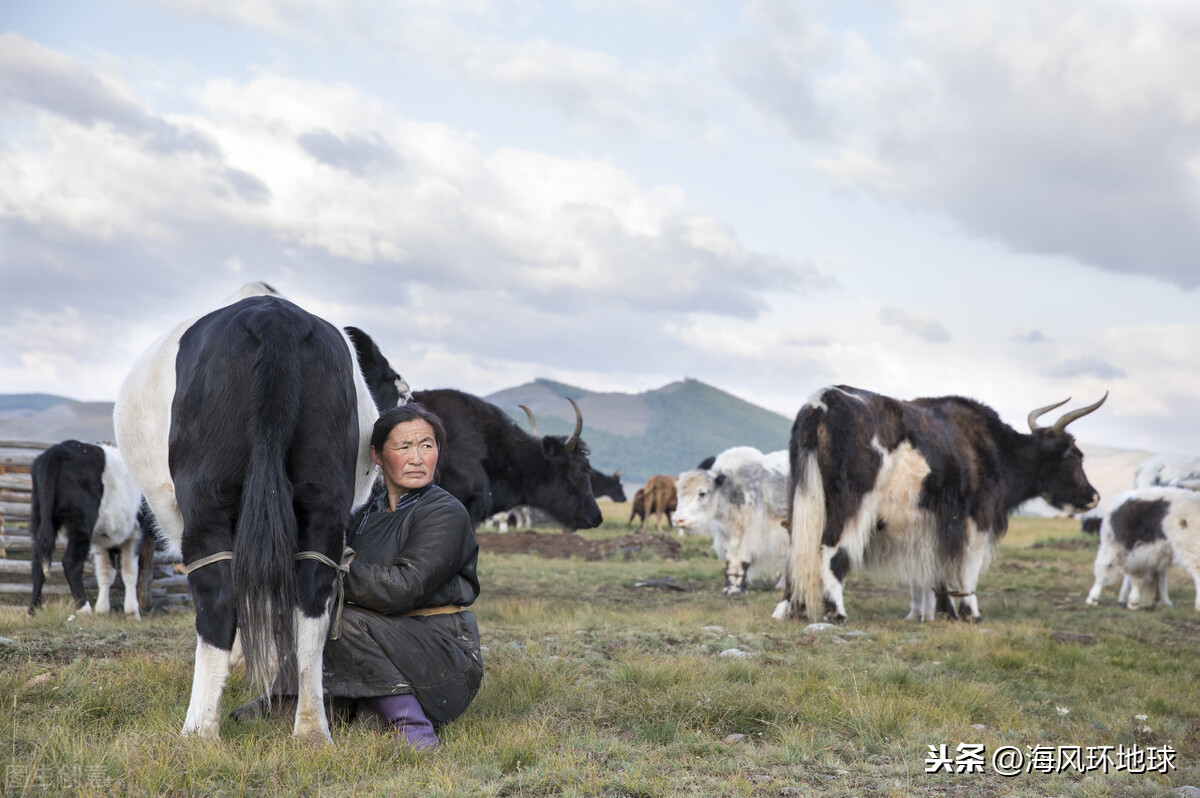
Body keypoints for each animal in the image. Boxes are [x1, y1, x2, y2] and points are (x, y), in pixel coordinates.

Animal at [27, 441, 145, 614]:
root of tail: (55, 452)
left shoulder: (105, 538)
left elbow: (106, 572)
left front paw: (102, 610)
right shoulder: (137, 532)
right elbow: (130, 571)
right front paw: (132, 611)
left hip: (39, 519)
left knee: (37, 563)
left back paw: (32, 610)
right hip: (81, 525)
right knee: (70, 562)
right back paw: (84, 608)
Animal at [112, 282, 403, 739]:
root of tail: (273, 318)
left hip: (207, 497)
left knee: (218, 595)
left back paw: (199, 729)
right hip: (323, 495)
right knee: (312, 597)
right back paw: (310, 729)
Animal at [672, 444, 792, 595]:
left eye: (702, 493)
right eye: (679, 493)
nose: (678, 520)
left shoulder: (751, 531)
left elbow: (743, 559)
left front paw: (738, 589)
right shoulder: (728, 532)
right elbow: (731, 559)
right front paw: (729, 588)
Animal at [777, 386, 1104, 624]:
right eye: (1074, 455)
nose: (1094, 496)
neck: (996, 449)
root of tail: (822, 402)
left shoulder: (935, 524)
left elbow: (937, 567)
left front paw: (944, 611)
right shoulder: (976, 519)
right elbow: (967, 565)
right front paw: (971, 613)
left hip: (803, 498)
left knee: (797, 546)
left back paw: (792, 609)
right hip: (849, 504)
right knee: (829, 547)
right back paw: (836, 612)